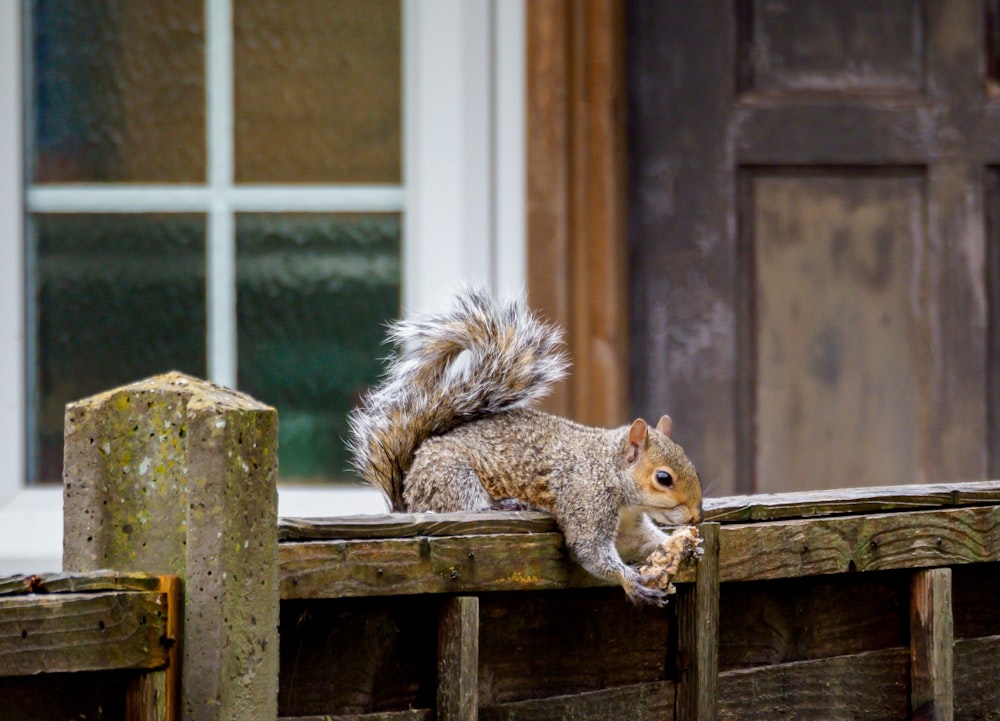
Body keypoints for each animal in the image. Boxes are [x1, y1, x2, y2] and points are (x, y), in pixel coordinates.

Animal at [350, 290, 704, 604]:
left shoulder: (629, 523)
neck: (609, 470)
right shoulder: (585, 498)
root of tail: (407, 494)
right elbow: (590, 549)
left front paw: (684, 545)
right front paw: (631, 581)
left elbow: (640, 540)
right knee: (460, 505)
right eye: (664, 478)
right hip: (450, 474)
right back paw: (500, 506)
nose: (696, 517)